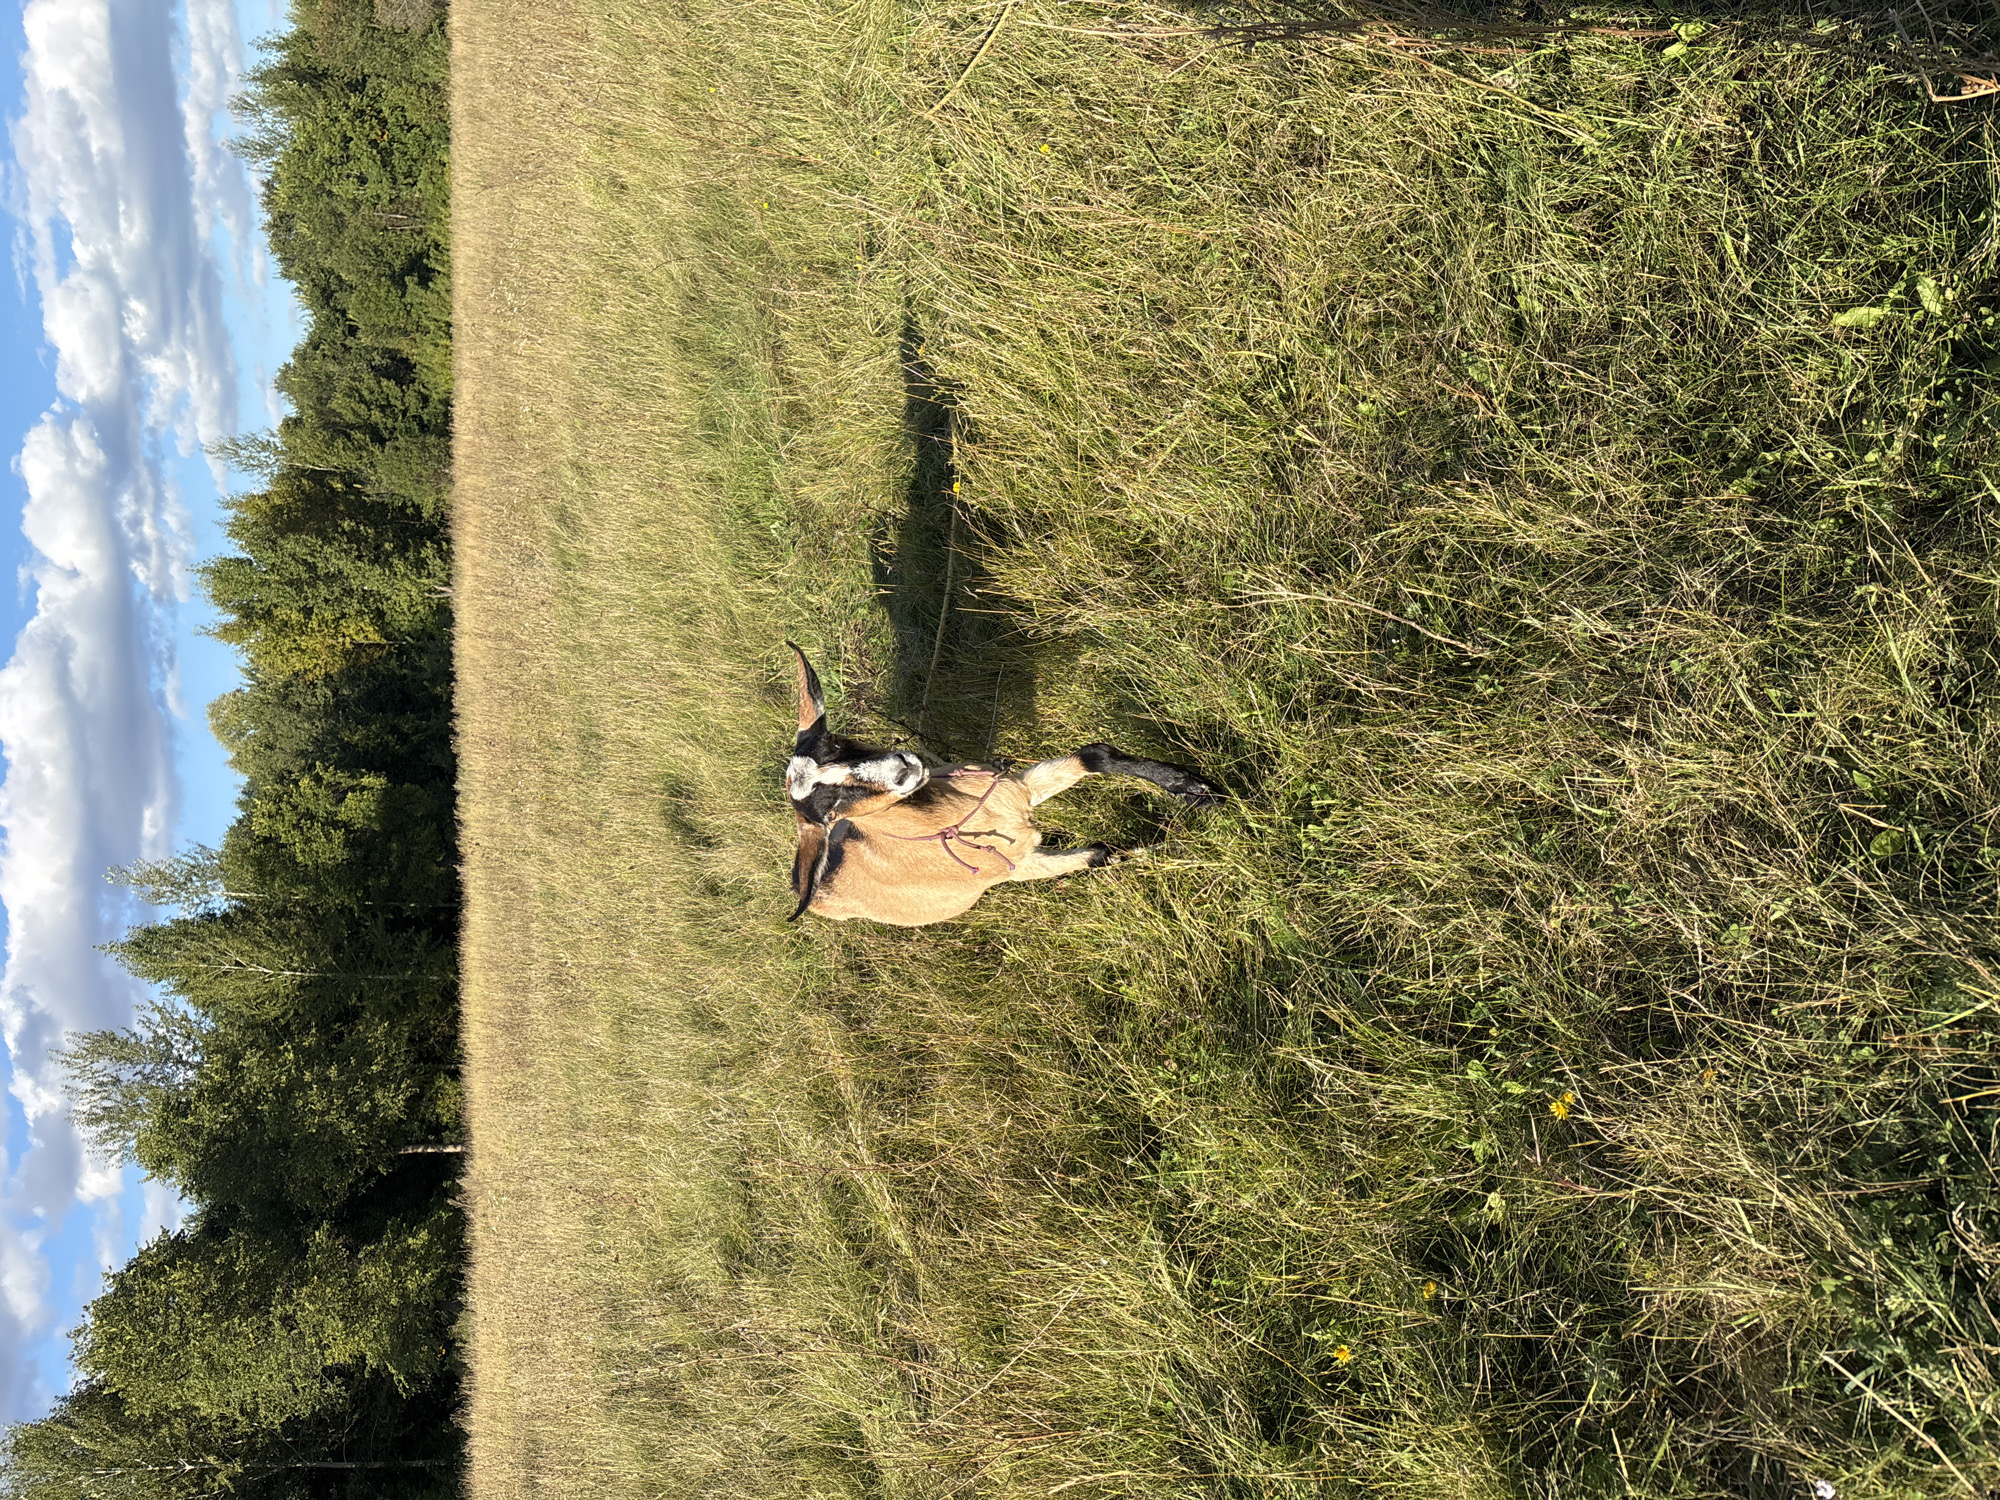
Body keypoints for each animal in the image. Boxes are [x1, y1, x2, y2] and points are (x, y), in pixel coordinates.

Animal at [783, 643, 1219, 926]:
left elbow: (1096, 756)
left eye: (835, 742)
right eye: (830, 810)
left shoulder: (1017, 790)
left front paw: (1194, 790)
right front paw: (1182, 846)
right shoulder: (1018, 866)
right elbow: (1101, 853)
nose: (902, 770)